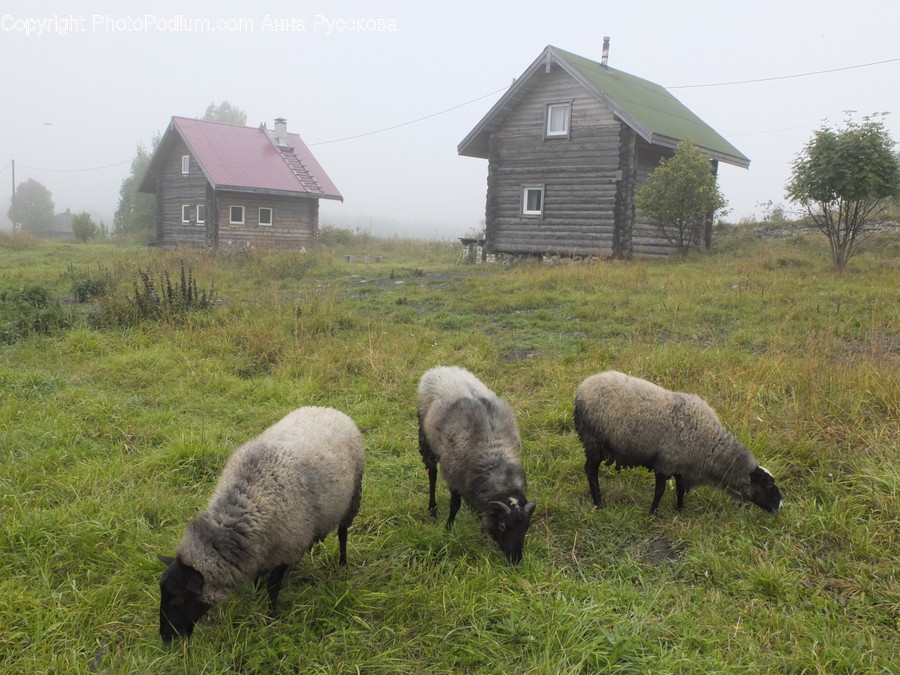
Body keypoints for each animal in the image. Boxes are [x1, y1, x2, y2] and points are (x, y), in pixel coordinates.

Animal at [156, 406, 365, 642]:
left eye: (177, 601)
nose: (165, 638)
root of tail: (328, 409)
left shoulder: (286, 548)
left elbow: (273, 586)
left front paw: (271, 616)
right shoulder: (260, 549)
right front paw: (255, 592)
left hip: (353, 496)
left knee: (343, 533)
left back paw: (342, 563)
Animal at [417, 366, 536, 565]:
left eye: (526, 526)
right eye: (502, 525)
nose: (516, 560)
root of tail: (441, 368)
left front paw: (483, 534)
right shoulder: (454, 475)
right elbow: (454, 506)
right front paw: (448, 528)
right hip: (425, 439)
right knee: (432, 473)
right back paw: (432, 509)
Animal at [574, 371, 782, 515]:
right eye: (768, 485)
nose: (780, 506)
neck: (710, 446)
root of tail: (583, 386)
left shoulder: (683, 466)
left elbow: (680, 490)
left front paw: (680, 511)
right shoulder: (664, 463)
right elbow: (660, 491)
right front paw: (652, 513)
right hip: (593, 441)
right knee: (590, 471)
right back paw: (599, 504)